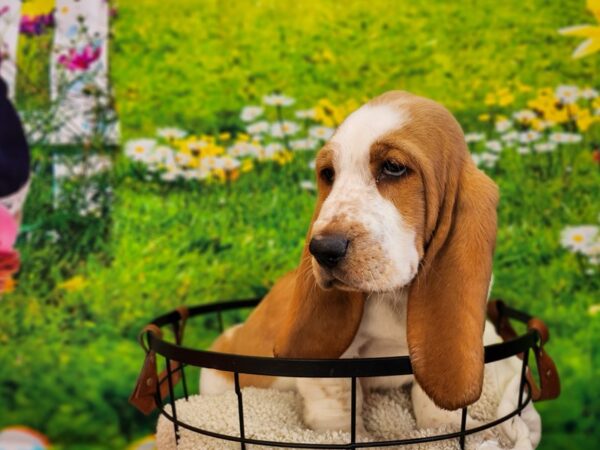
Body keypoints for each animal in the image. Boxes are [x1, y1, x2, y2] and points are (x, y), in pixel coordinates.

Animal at [202, 90, 502, 432]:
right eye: (328, 174)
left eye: (394, 167)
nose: (322, 249)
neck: (393, 297)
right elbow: (338, 402)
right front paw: (337, 432)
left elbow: (427, 398)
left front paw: (442, 428)